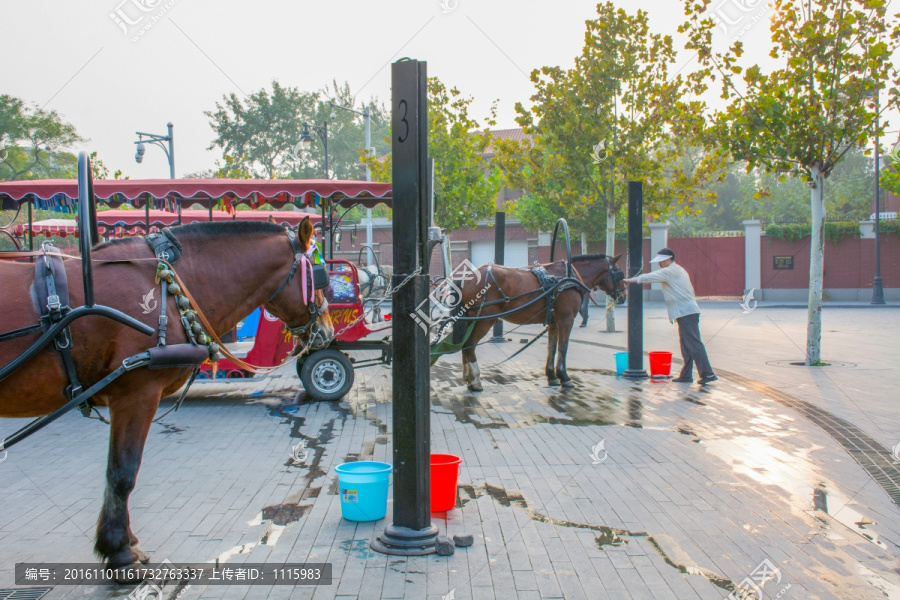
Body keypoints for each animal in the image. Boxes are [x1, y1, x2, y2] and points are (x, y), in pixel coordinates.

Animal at [0, 218, 334, 576]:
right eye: (318, 274)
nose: (327, 331)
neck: (171, 286)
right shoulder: (136, 394)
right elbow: (122, 473)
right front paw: (120, 551)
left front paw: (124, 543)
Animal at [458, 254, 624, 392]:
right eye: (619, 273)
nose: (623, 296)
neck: (568, 279)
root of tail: (469, 277)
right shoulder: (566, 319)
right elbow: (563, 348)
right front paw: (564, 377)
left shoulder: (554, 322)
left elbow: (551, 348)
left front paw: (552, 377)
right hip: (485, 320)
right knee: (470, 344)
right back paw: (475, 380)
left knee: (465, 344)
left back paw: (468, 378)